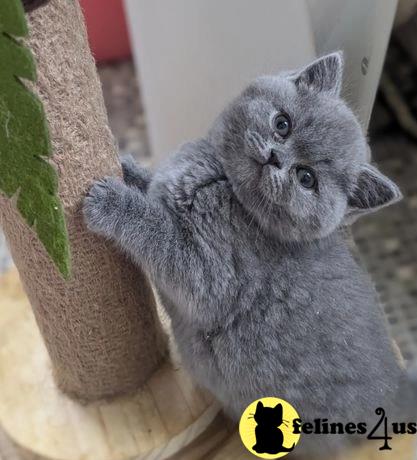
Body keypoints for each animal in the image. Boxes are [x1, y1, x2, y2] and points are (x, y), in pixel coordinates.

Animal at [83, 52, 412, 454]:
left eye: (306, 178)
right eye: (283, 124)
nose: (274, 156)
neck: (223, 181)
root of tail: (397, 389)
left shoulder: (211, 274)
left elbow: (161, 234)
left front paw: (112, 201)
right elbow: (154, 184)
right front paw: (127, 164)